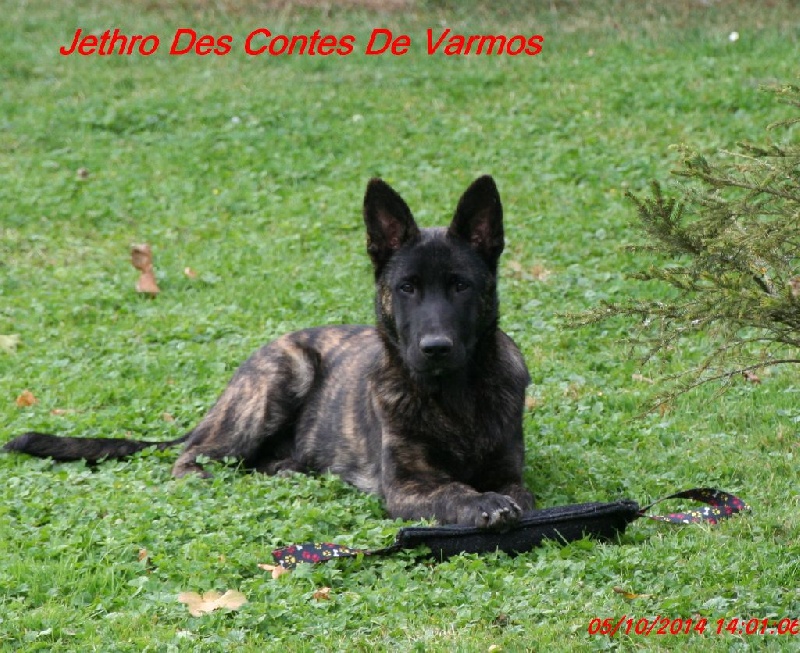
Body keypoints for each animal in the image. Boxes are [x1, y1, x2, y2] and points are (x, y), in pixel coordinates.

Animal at [4, 176, 534, 528]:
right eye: (407, 288)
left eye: (461, 286)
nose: (435, 348)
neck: (454, 396)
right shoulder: (406, 486)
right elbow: (451, 489)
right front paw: (479, 503)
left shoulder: (510, 472)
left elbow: (517, 493)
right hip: (281, 377)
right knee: (193, 459)